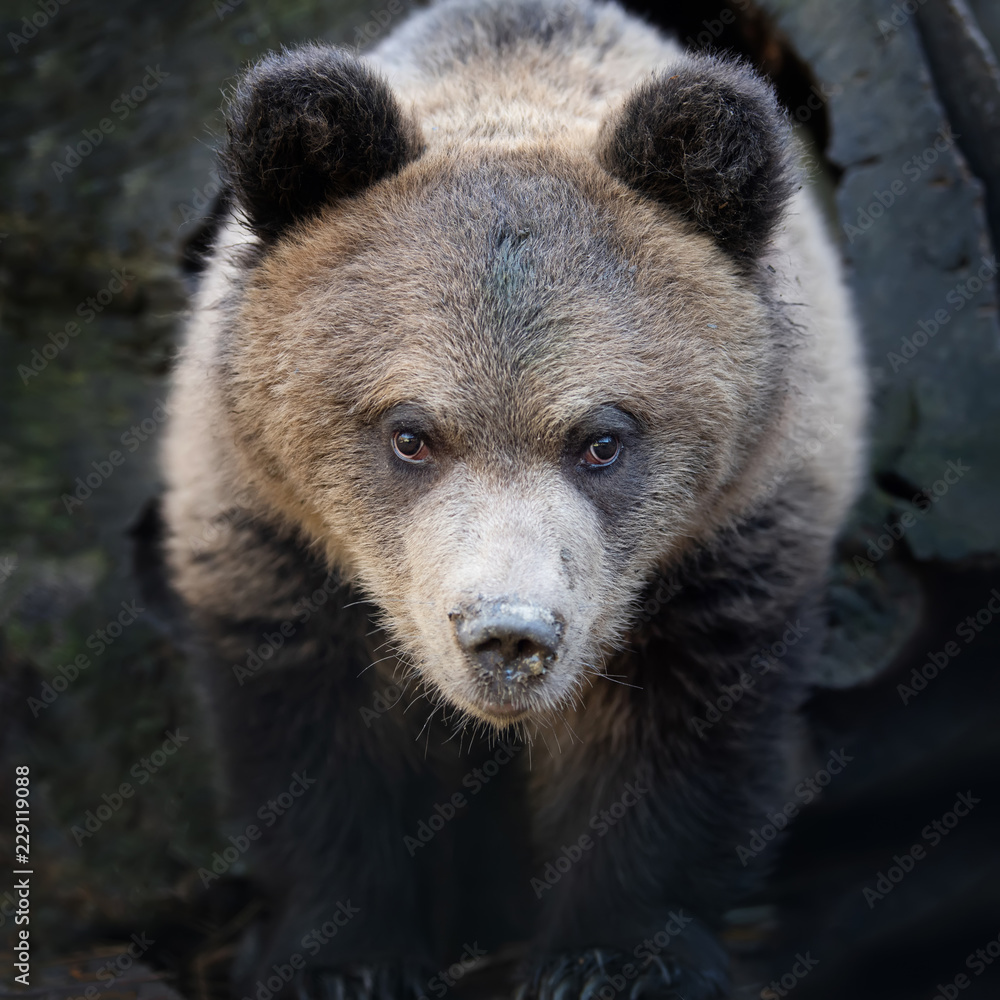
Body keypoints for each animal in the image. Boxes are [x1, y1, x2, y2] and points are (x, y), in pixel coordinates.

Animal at [158, 1, 868, 1000]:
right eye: (410, 433)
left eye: (602, 439)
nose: (507, 635)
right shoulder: (274, 539)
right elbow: (314, 748)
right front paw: (344, 958)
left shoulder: (724, 546)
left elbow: (680, 742)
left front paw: (615, 955)